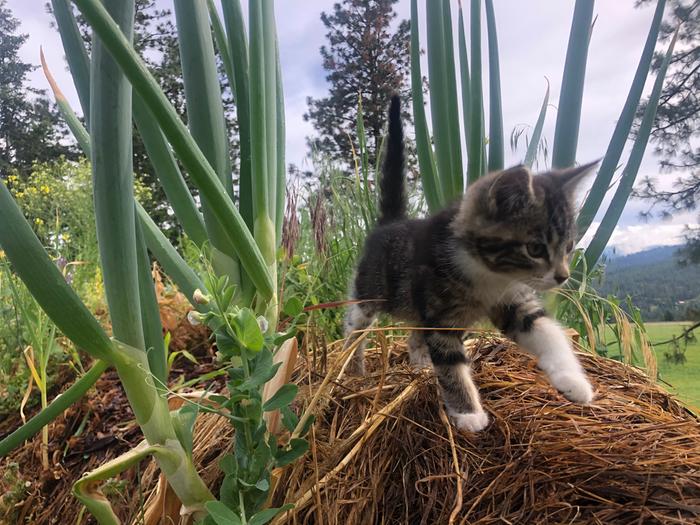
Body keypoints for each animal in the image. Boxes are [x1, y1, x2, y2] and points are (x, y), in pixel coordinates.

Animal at [344, 96, 596, 432]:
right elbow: (450, 363)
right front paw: (468, 413)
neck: (490, 276)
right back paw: (352, 367)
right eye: (535, 249)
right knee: (355, 323)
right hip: (372, 290)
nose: (563, 277)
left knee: (414, 336)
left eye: (568, 247)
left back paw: (421, 367)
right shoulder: (442, 316)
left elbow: (548, 332)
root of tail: (391, 223)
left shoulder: (515, 303)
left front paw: (573, 381)